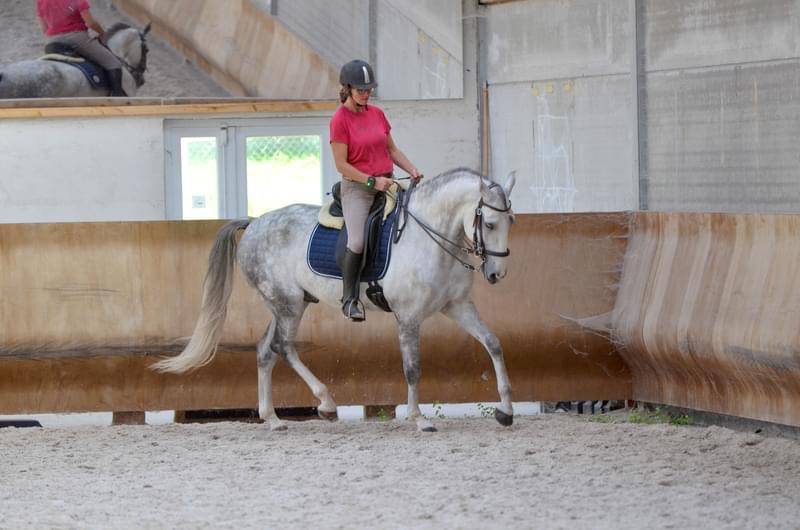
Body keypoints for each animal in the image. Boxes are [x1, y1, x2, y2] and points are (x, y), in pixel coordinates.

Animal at [153, 167, 517, 432]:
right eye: (489, 223)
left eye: (510, 221)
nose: (497, 274)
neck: (427, 237)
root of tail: (254, 223)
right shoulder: (409, 316)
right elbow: (413, 367)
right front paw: (419, 419)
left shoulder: (457, 306)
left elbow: (494, 343)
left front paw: (506, 410)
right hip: (287, 304)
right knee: (283, 347)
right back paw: (325, 404)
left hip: (288, 303)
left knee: (265, 351)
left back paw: (273, 419)